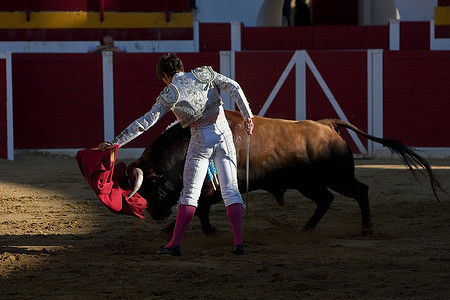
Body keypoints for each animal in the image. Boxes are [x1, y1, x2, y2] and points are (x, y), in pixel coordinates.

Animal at [125, 110, 444, 237]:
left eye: (153, 187)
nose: (155, 214)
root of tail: (327, 125)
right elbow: (198, 206)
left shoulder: (214, 188)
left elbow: (199, 206)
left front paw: (181, 230)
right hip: (308, 184)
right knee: (326, 200)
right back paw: (306, 229)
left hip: (336, 178)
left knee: (360, 191)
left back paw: (366, 229)